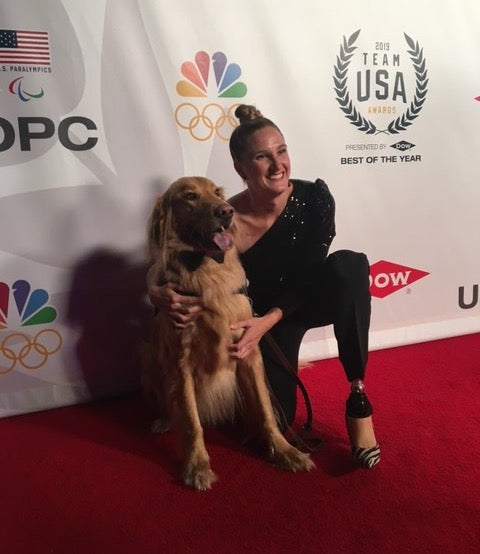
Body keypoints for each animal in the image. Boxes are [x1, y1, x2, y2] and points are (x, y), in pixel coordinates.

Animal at [143, 176, 316, 488]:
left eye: (217, 193)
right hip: (148, 355)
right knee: (167, 402)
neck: (205, 270)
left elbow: (266, 410)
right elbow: (191, 421)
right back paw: (163, 420)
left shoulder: (248, 351)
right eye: (190, 196)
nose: (226, 212)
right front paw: (197, 466)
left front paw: (285, 451)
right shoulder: (180, 360)